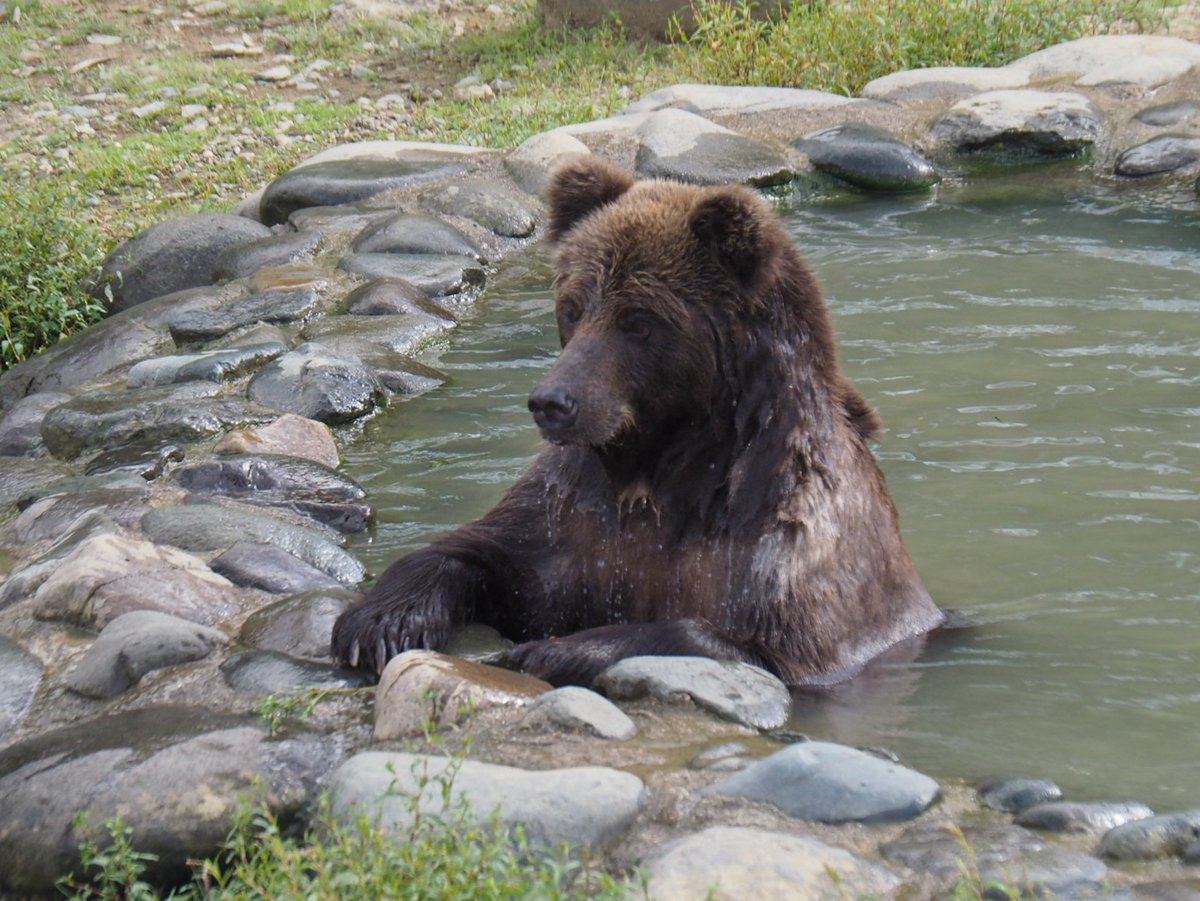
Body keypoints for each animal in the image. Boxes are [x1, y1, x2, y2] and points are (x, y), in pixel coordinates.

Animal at [331, 157, 945, 687]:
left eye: (640, 321)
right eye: (574, 307)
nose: (553, 402)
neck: (665, 472)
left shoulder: (792, 559)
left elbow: (739, 642)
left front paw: (554, 649)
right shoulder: (571, 522)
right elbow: (477, 553)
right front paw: (375, 624)